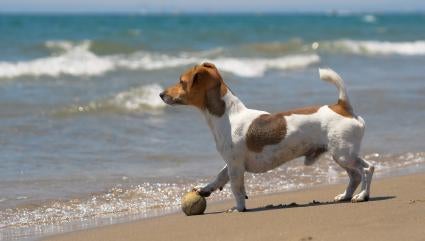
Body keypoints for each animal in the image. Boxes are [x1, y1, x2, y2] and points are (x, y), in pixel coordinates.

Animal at [160, 63, 374, 212]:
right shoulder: (231, 163)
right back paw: (345, 195)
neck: (229, 115)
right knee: (355, 175)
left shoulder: (236, 167)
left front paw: (238, 208)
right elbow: (220, 177)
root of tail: (342, 107)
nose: (161, 94)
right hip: (342, 155)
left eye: (181, 81)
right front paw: (205, 189)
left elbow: (237, 189)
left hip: (343, 154)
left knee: (367, 169)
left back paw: (362, 195)